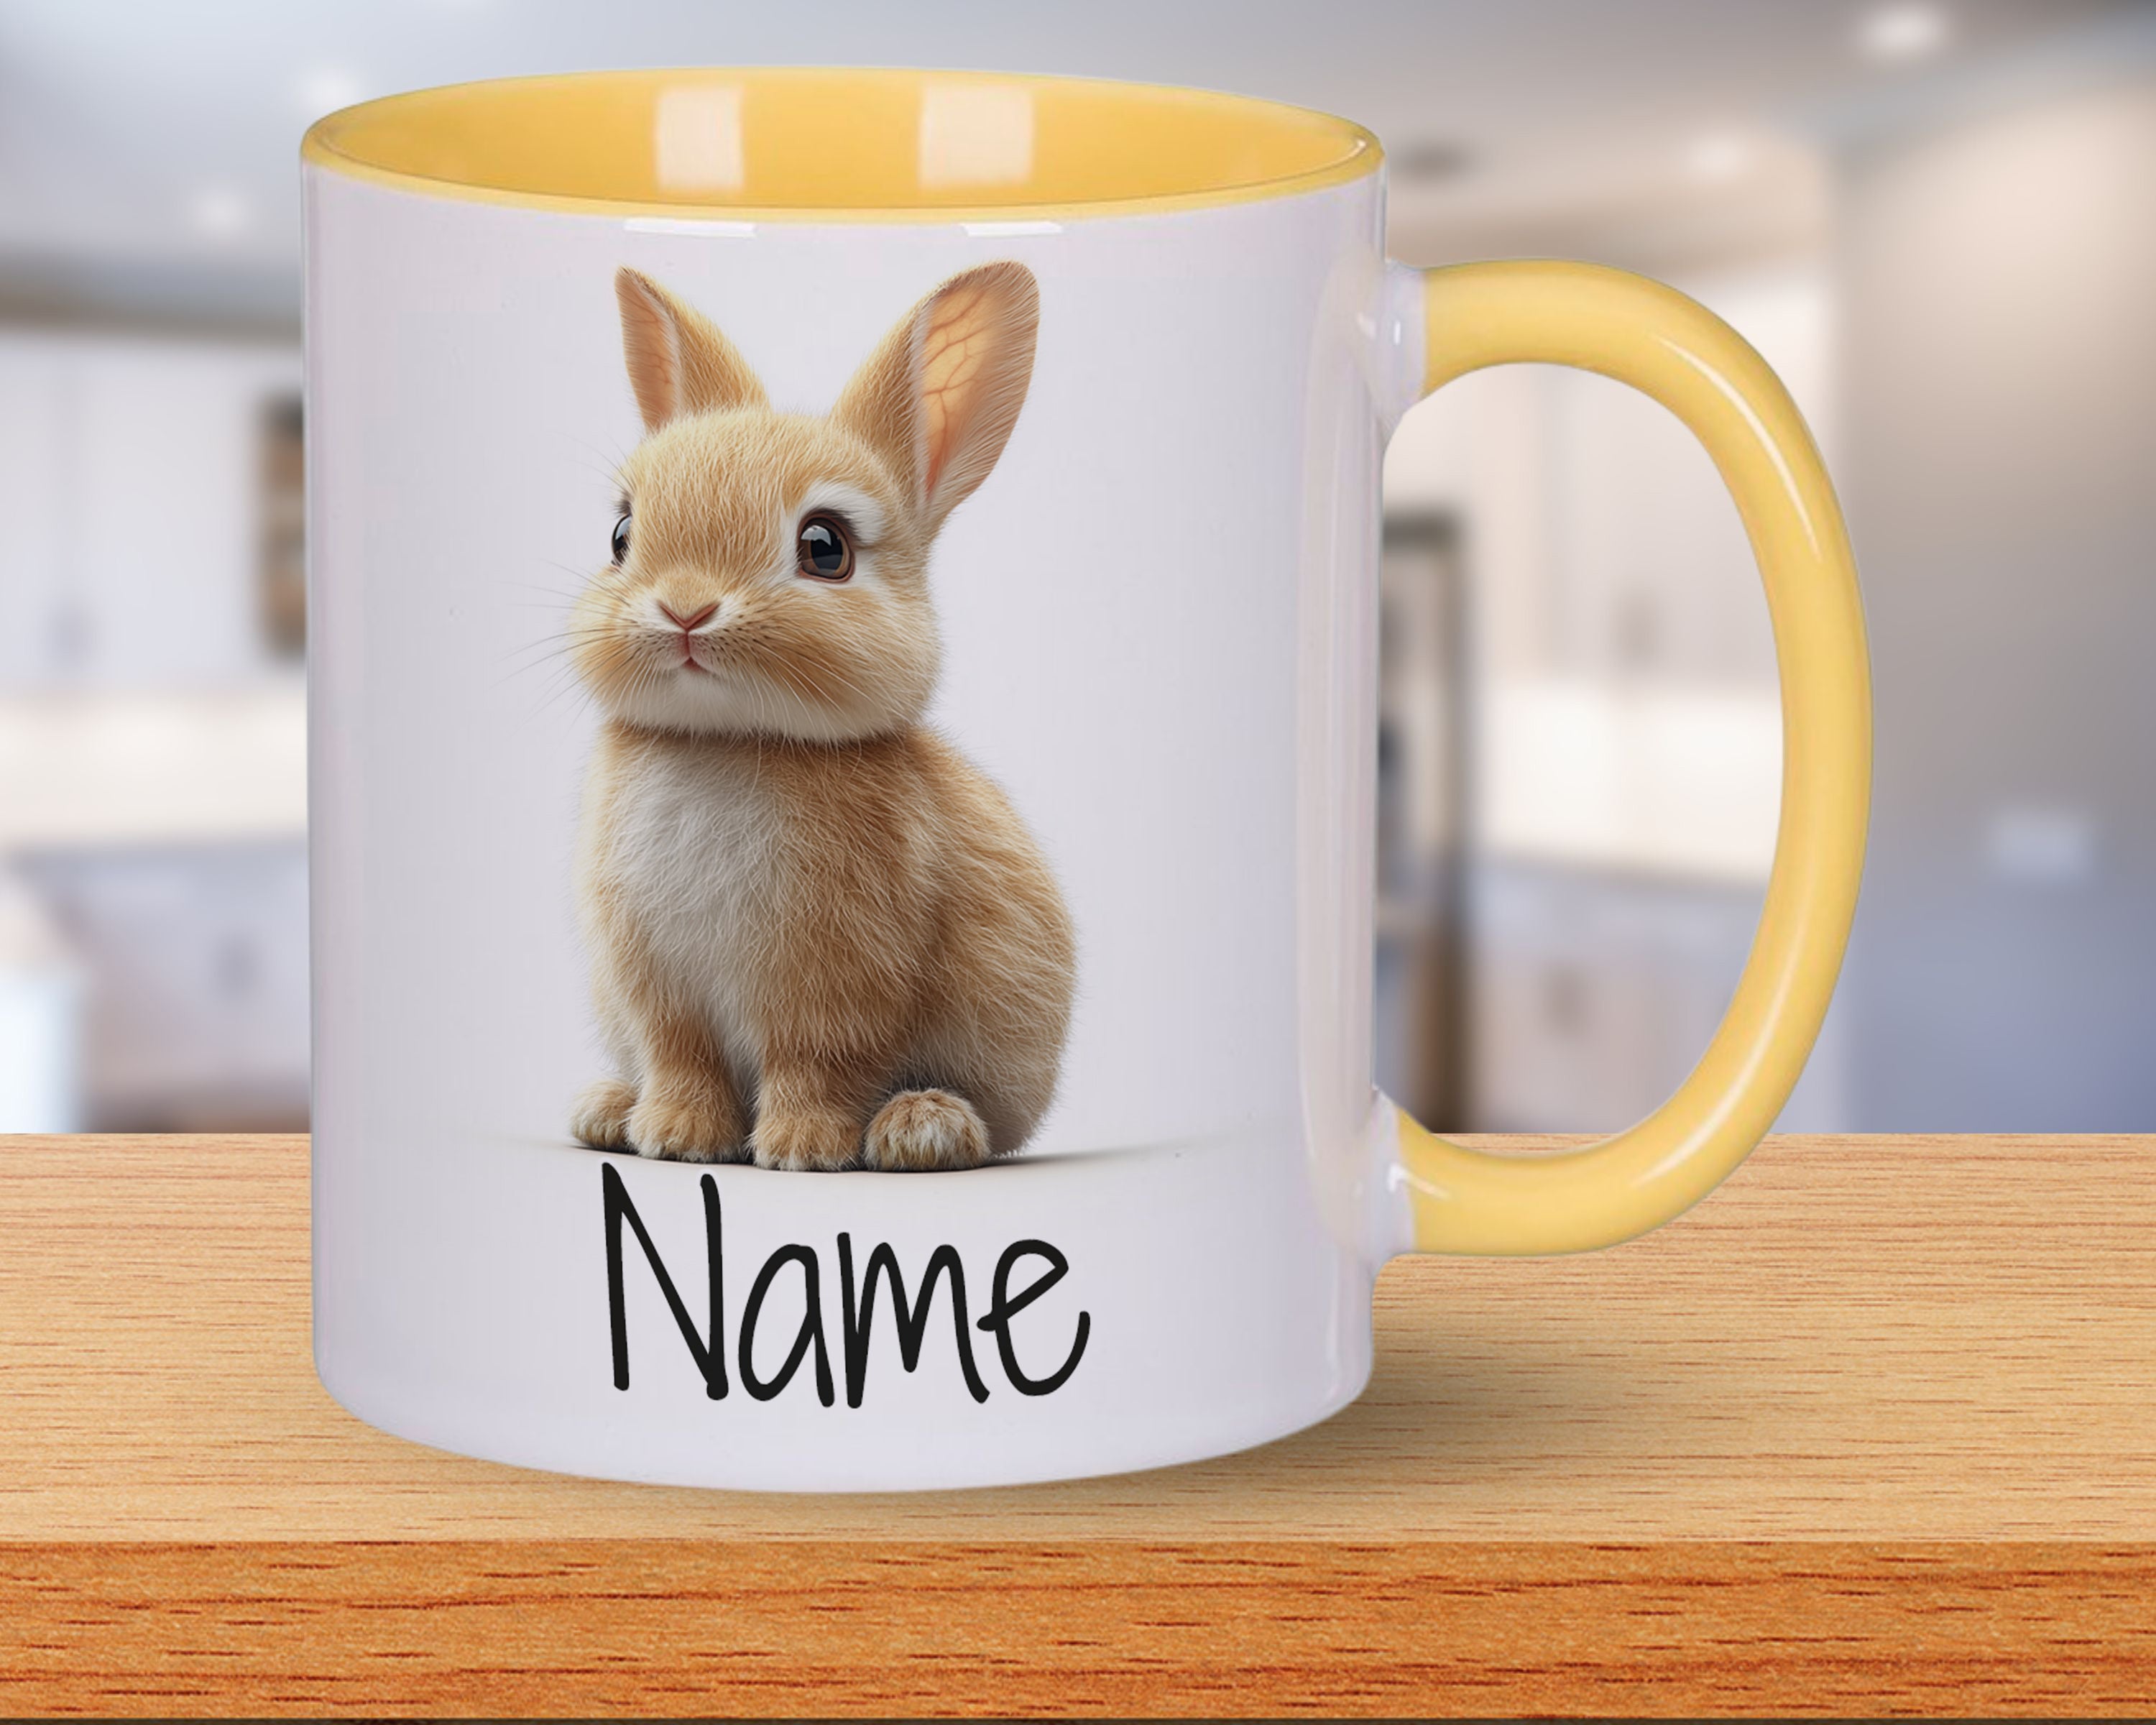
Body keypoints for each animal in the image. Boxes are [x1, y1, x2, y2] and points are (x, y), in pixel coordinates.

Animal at [566, 261, 1075, 1173]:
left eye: (826, 547)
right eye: (622, 534)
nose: (685, 609)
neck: (727, 743)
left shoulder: (839, 987)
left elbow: (817, 1063)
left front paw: (800, 1149)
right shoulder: (659, 990)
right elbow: (681, 1056)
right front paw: (677, 1138)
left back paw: (921, 1128)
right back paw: (608, 1109)